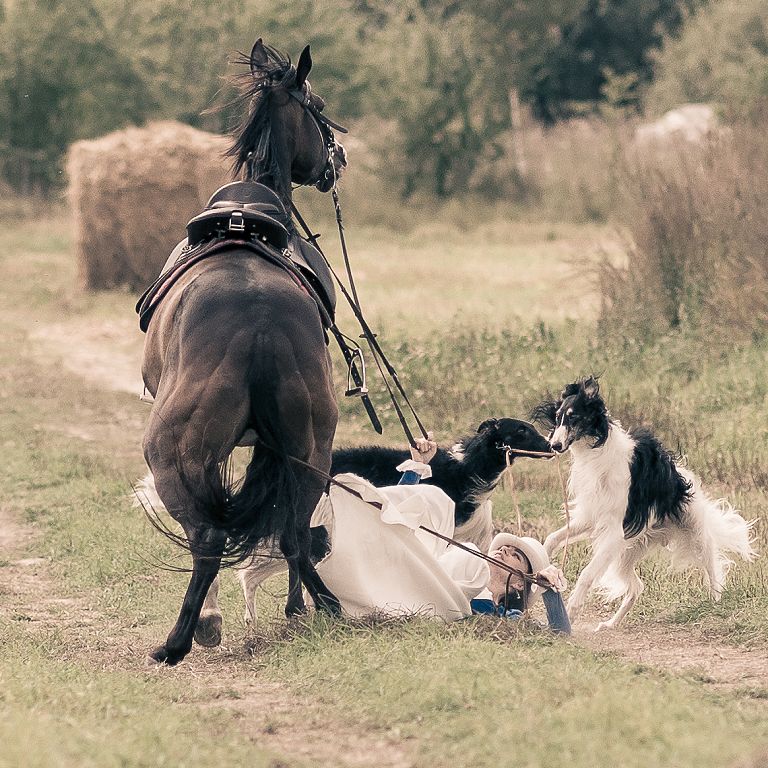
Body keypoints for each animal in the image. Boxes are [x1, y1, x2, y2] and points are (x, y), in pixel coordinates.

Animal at [141, 40, 348, 664]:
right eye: (319, 108)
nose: (337, 161)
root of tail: (258, 321)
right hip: (310, 448)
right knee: (294, 531)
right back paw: (318, 607)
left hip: (170, 453)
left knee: (208, 535)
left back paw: (181, 639)